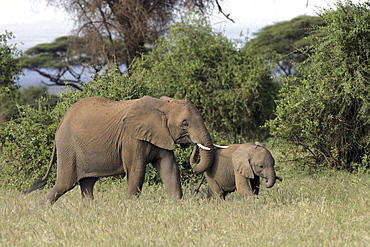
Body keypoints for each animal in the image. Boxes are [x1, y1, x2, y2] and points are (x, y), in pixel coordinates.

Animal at [23, 95, 214, 204]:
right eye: (185, 123)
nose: (194, 146)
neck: (162, 105)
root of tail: (60, 123)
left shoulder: (161, 134)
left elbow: (170, 168)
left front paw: (177, 204)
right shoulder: (131, 138)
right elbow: (137, 170)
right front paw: (131, 206)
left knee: (87, 183)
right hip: (68, 146)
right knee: (64, 184)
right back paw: (37, 208)